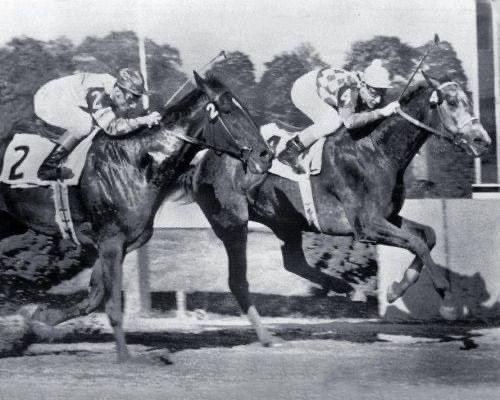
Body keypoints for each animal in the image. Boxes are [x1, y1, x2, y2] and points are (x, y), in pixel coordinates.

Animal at [0, 72, 274, 362]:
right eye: (228, 110)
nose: (266, 155)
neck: (137, 163)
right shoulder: (110, 241)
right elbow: (111, 304)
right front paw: (125, 357)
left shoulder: (122, 243)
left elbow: (95, 296)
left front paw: (40, 317)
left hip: (9, 224)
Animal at [181, 74, 492, 344]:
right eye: (452, 102)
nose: (483, 140)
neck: (376, 150)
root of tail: (202, 159)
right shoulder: (367, 225)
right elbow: (417, 242)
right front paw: (446, 302)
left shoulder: (387, 217)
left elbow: (428, 236)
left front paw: (395, 289)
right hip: (233, 223)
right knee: (239, 279)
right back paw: (268, 336)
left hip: (283, 221)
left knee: (293, 262)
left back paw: (347, 289)